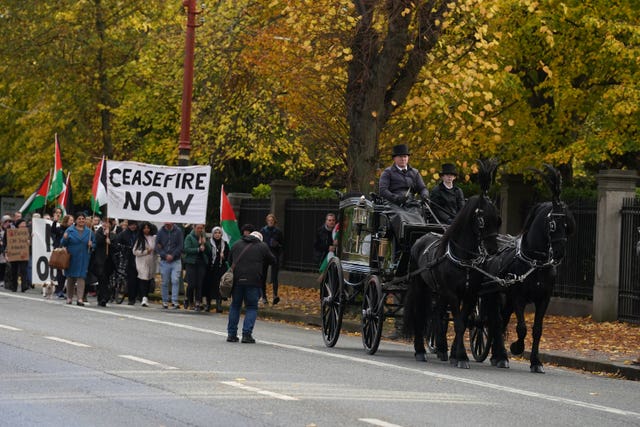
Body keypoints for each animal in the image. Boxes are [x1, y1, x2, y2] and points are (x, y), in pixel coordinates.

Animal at [402, 160, 502, 368]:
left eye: (498, 220)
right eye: (482, 219)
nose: (493, 250)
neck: (464, 258)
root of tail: (420, 239)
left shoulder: (470, 294)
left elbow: (462, 323)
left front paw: (457, 355)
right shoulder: (453, 294)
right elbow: (458, 322)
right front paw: (462, 357)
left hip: (438, 291)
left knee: (437, 315)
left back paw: (441, 349)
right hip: (420, 285)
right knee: (420, 315)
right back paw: (420, 351)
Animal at [488, 166, 576, 372]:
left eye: (566, 224)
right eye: (552, 224)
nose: (559, 253)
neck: (536, 263)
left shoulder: (543, 299)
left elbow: (537, 330)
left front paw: (536, 361)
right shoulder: (519, 297)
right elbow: (521, 328)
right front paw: (516, 347)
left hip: (507, 298)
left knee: (502, 320)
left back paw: (497, 355)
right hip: (497, 295)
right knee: (497, 321)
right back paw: (501, 355)